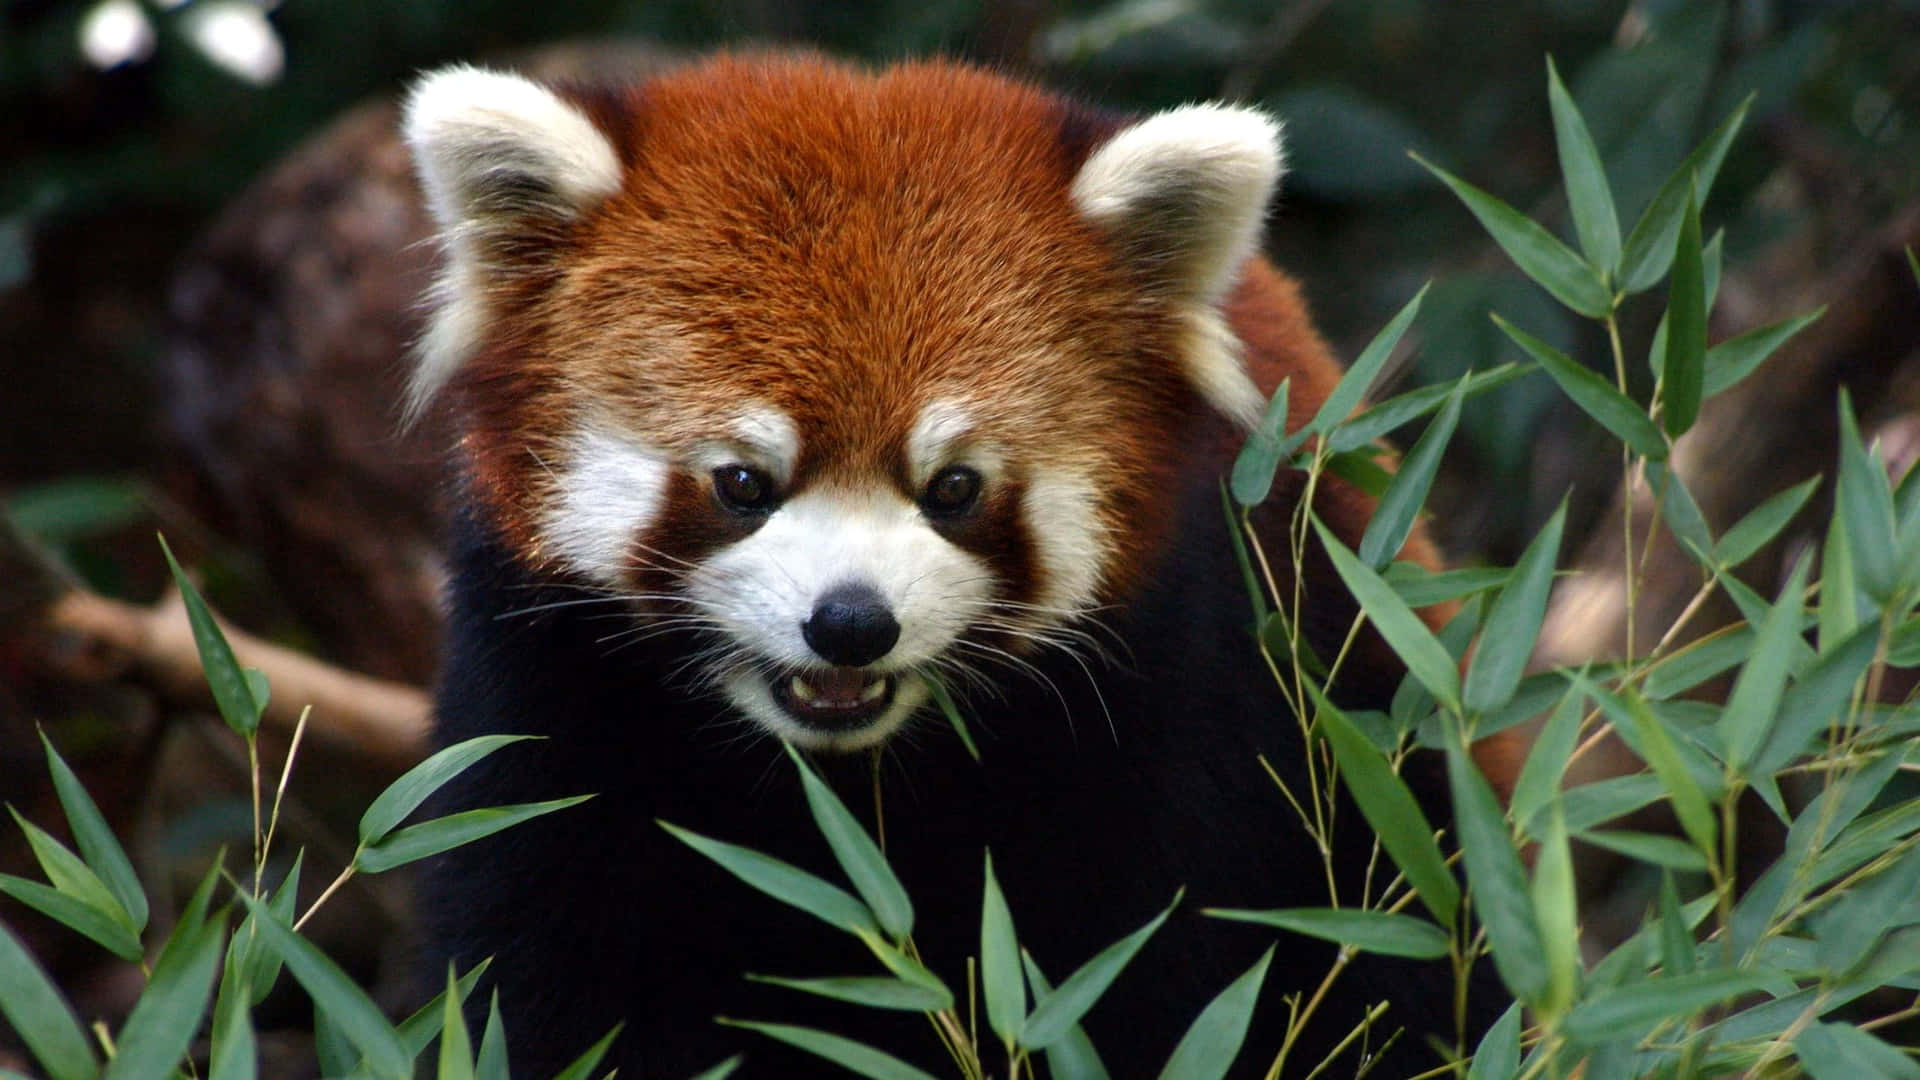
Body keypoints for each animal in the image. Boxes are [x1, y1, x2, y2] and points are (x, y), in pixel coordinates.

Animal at [405, 52, 1505, 1076]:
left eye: (955, 487)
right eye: (743, 482)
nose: (851, 623)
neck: (845, 789)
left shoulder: (1196, 709)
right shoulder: (543, 703)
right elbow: (535, 974)